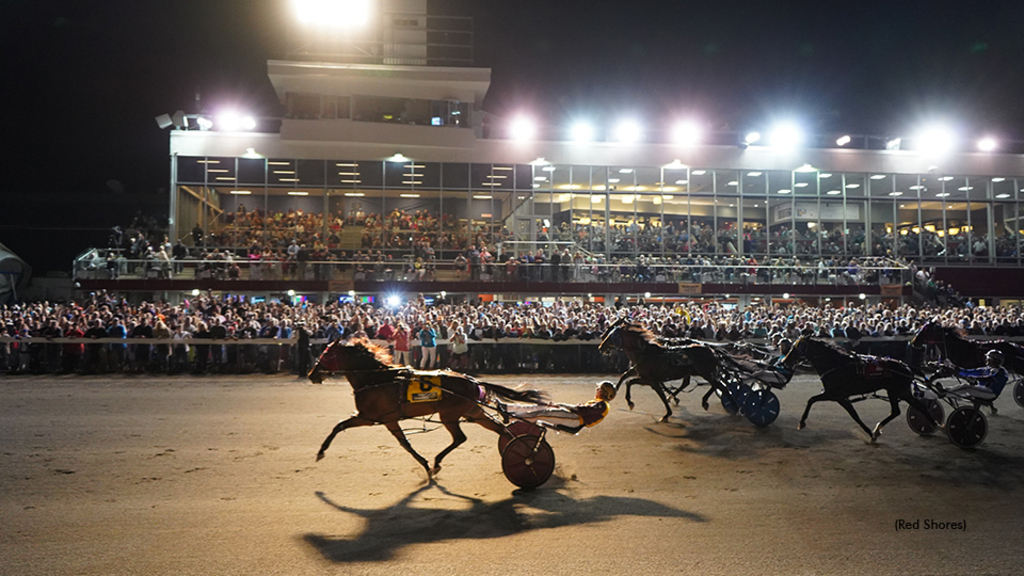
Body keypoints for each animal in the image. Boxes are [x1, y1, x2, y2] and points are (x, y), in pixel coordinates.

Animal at [598, 315, 733, 420]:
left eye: (611, 333)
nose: (600, 346)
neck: (645, 352)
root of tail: (711, 350)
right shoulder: (642, 374)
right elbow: (625, 377)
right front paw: (613, 391)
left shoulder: (649, 380)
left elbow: (632, 383)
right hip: (700, 372)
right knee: (712, 384)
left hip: (705, 372)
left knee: (717, 384)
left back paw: (716, 403)